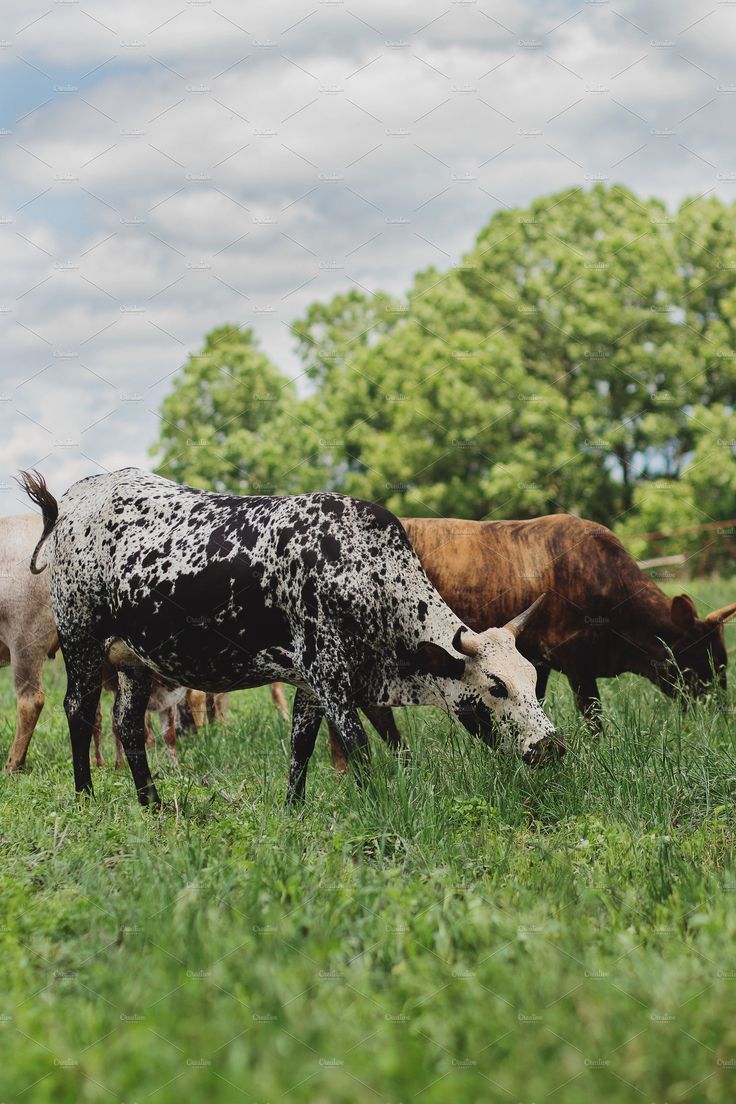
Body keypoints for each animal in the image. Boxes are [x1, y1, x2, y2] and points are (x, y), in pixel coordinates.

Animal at [20, 468, 560, 807]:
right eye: (496, 687)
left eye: (533, 680)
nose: (551, 747)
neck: (362, 566)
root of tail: (75, 496)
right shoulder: (331, 677)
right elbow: (358, 747)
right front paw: (377, 804)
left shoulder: (309, 683)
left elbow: (301, 744)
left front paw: (292, 808)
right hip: (82, 640)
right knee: (79, 710)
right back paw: (85, 797)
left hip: (133, 660)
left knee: (128, 726)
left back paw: (151, 803)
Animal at [327, 514, 736, 770]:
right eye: (701, 662)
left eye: (723, 662)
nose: (722, 715)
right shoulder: (576, 663)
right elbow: (593, 716)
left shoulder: (536, 661)